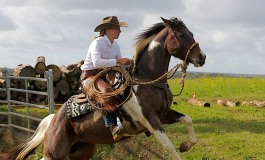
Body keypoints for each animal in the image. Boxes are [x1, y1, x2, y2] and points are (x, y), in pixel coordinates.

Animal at [1, 16, 205, 159]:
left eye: (191, 33)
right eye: (181, 35)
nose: (202, 57)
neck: (147, 80)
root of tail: (53, 119)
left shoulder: (165, 114)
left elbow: (188, 120)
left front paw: (186, 145)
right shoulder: (150, 119)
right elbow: (169, 147)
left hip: (80, 152)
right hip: (54, 153)